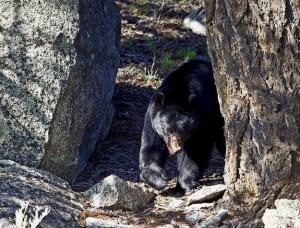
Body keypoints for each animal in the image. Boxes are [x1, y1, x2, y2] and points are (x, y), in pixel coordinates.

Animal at [139, 58, 224, 191]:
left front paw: (186, 182)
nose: (176, 148)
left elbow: (197, 148)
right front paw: (158, 178)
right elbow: (151, 146)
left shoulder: (204, 115)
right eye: (166, 130)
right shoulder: (152, 118)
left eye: (182, 130)